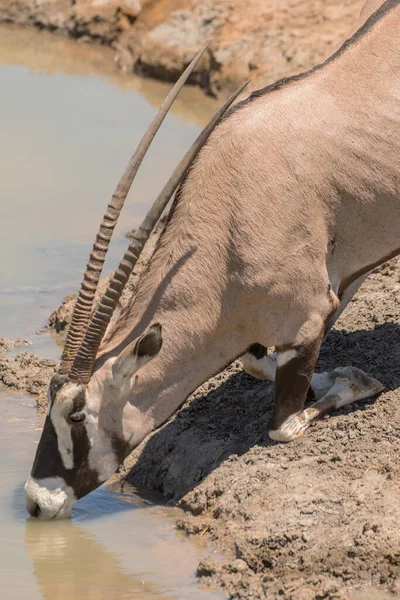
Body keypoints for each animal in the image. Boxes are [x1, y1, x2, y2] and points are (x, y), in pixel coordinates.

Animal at [26, 0, 398, 516]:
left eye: (77, 415)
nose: (37, 501)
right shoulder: (313, 303)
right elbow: (253, 364)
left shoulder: (307, 318)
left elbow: (282, 428)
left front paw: (358, 381)